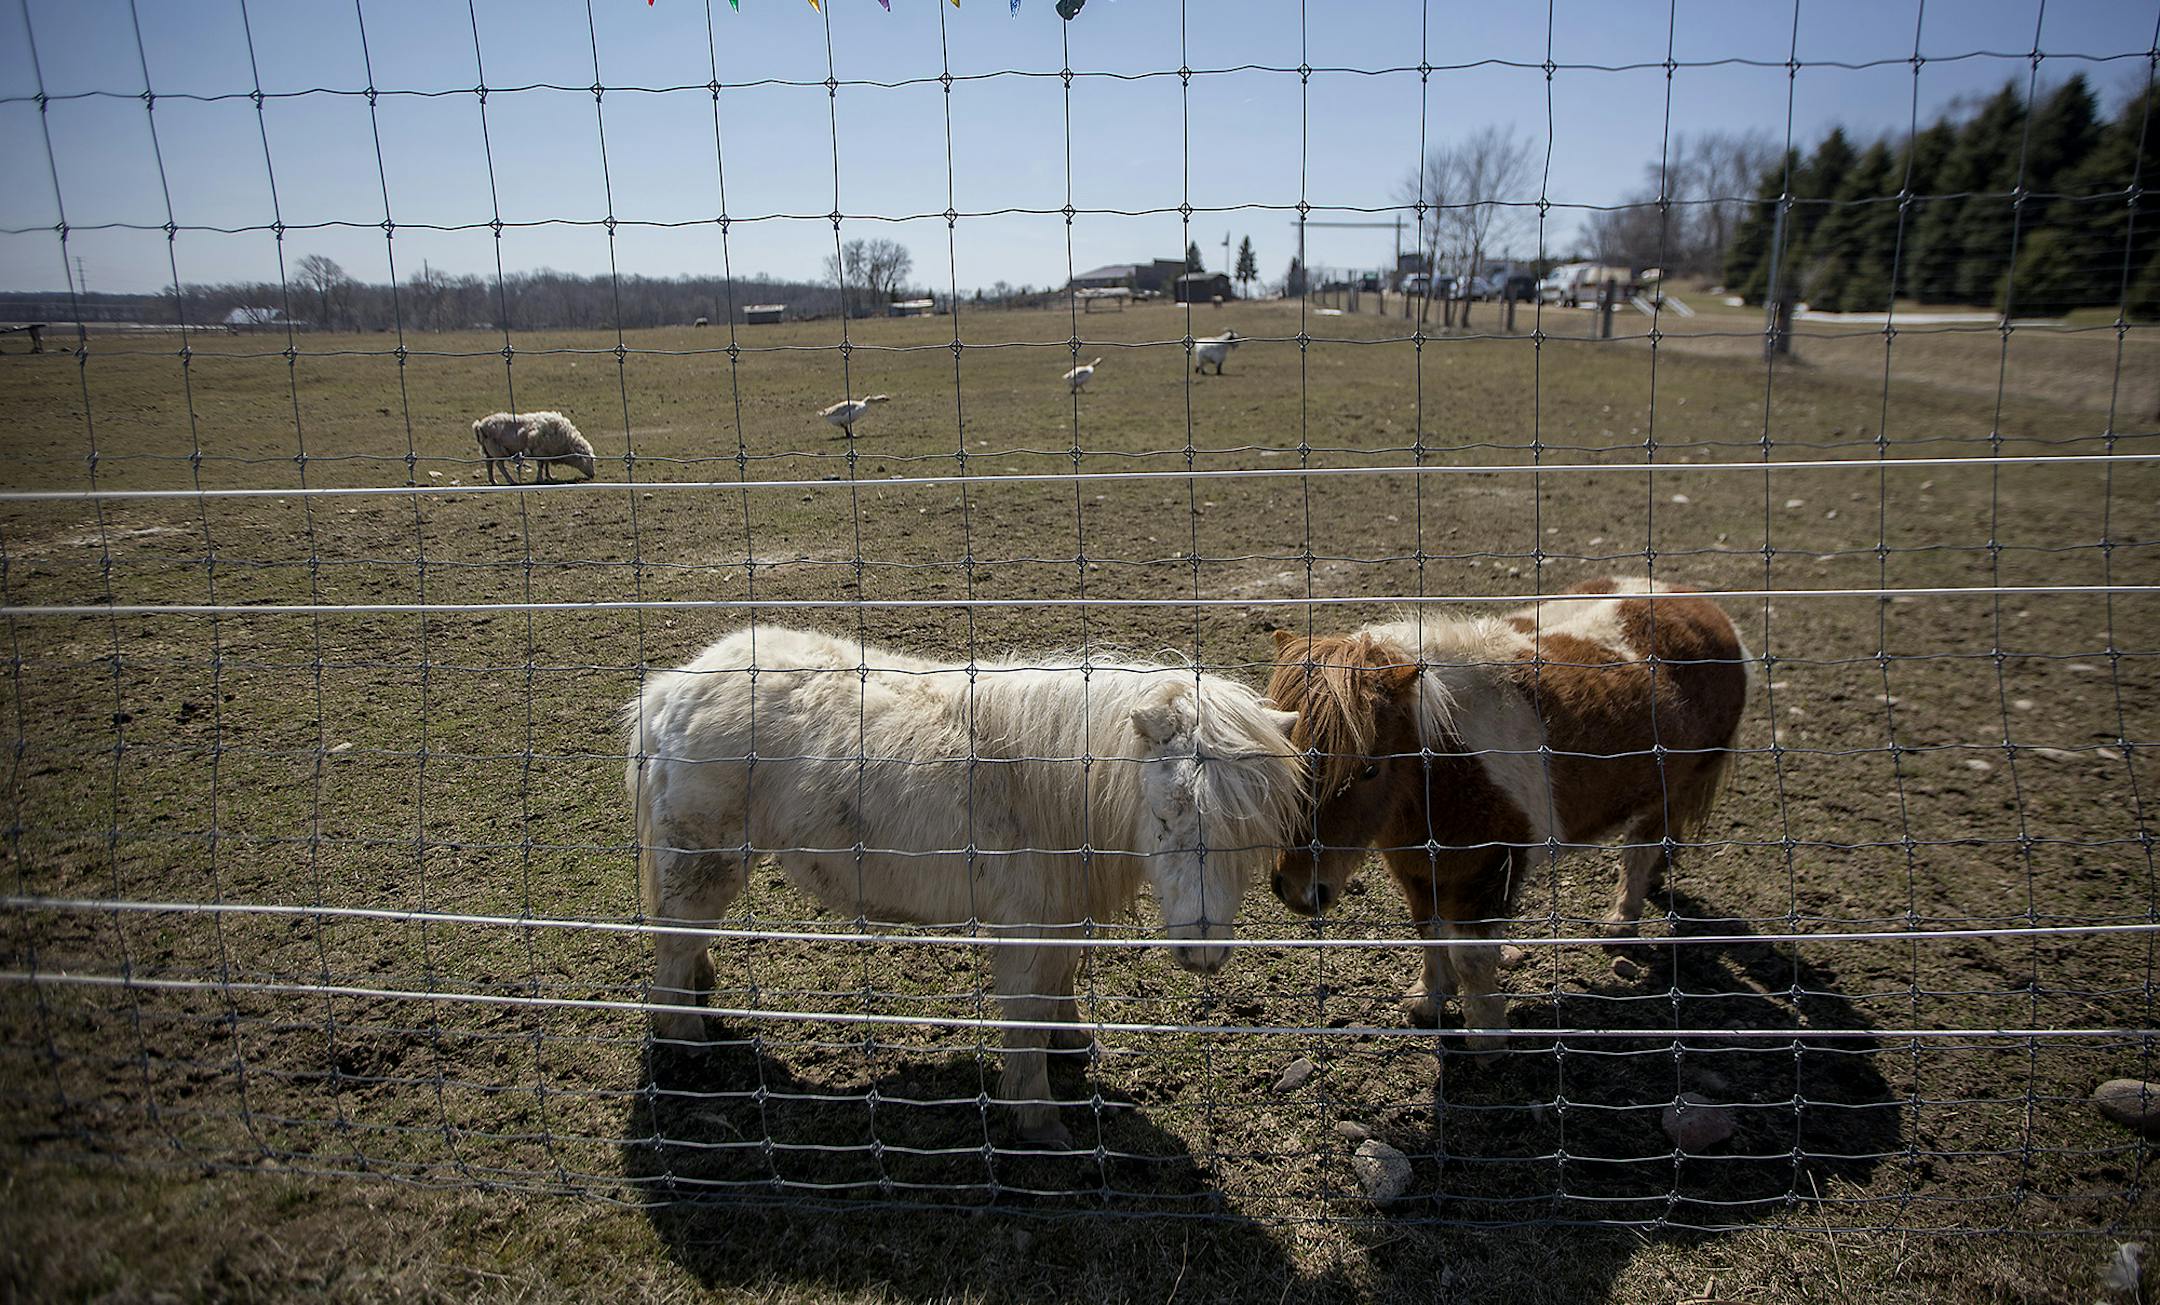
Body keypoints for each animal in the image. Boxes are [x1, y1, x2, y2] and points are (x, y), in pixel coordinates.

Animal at [626, 626, 1305, 1145]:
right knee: (675, 941)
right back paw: (687, 1039)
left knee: (686, 940)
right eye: (1166, 815)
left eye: (1250, 832)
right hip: (704, 862)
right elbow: (1025, 1015)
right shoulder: (1025, 927)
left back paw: (702, 993)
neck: (1060, 787)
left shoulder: (1061, 915)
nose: (1203, 952)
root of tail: (673, 690)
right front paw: (1039, 1121)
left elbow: (1058, 984)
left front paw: (1071, 1041)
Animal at [1265, 578, 1751, 1048]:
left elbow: (1472, 957)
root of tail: (1704, 606)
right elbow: (1429, 933)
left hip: (1670, 792)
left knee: (1640, 848)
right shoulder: (1418, 870)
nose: (1297, 891)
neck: (1448, 770)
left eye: (1369, 769)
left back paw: (1621, 921)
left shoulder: (1489, 874)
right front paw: (1428, 1000)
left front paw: (1487, 1036)